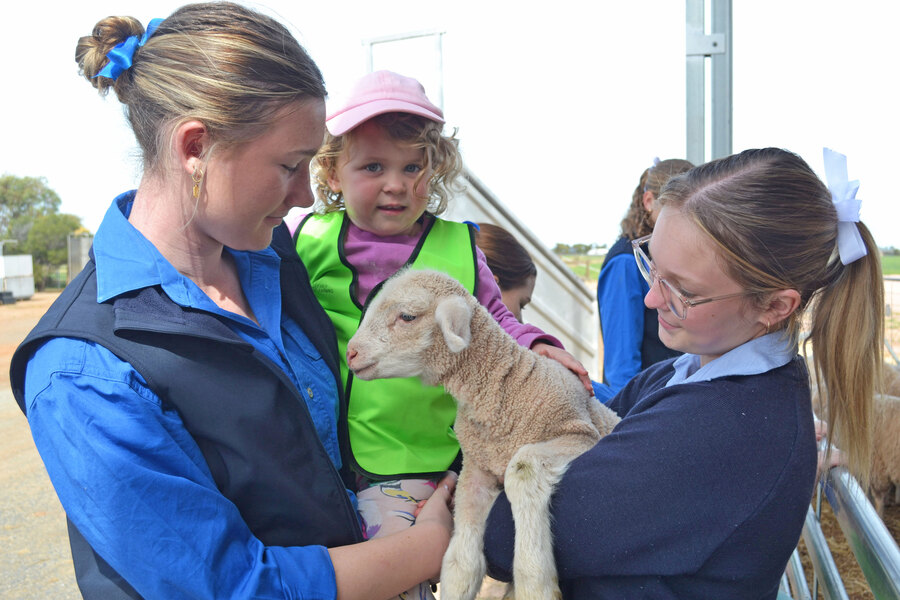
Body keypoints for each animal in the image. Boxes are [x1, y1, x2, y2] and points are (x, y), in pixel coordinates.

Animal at [344, 270, 620, 600]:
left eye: (407, 316)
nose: (350, 353)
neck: (504, 388)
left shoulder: (580, 433)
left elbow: (522, 468)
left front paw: (535, 582)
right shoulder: (477, 466)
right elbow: (460, 565)